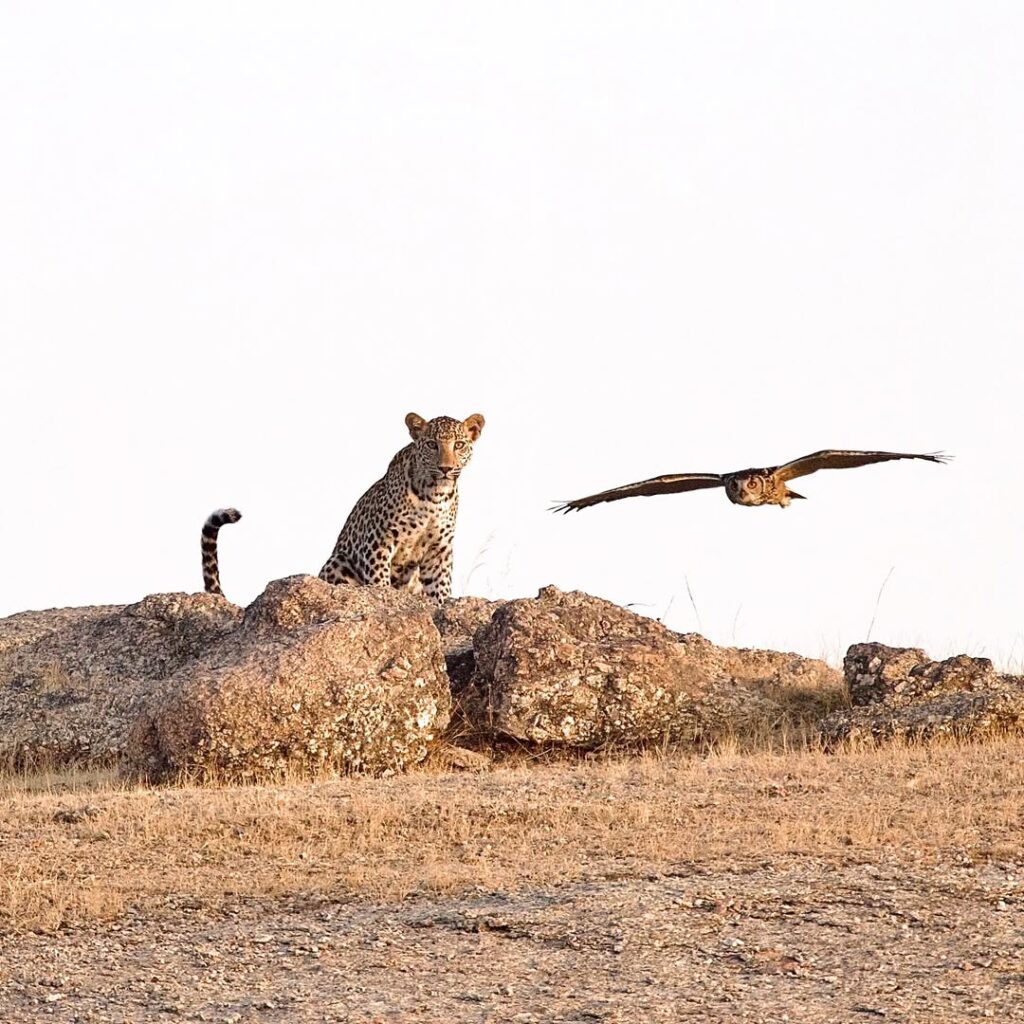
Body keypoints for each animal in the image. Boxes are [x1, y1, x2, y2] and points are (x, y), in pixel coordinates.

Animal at [201, 411, 485, 605]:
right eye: (432, 445)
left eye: (459, 445)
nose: (446, 468)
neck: (433, 495)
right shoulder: (378, 541)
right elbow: (379, 580)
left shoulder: (439, 549)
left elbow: (440, 586)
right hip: (338, 563)